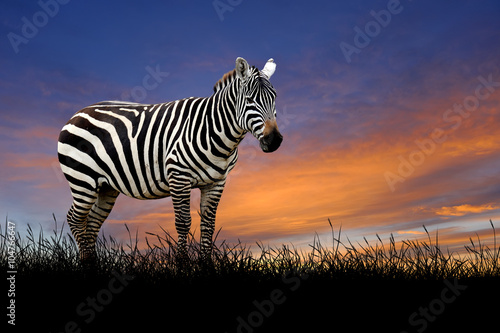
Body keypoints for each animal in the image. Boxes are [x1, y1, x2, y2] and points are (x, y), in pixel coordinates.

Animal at [57, 57, 284, 262]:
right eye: (250, 100)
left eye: (274, 98)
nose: (274, 141)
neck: (214, 130)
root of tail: (78, 113)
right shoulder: (179, 177)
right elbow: (183, 223)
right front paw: (183, 266)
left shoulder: (216, 182)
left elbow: (208, 225)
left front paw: (206, 266)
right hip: (83, 180)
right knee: (75, 219)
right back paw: (87, 264)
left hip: (106, 187)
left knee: (92, 223)